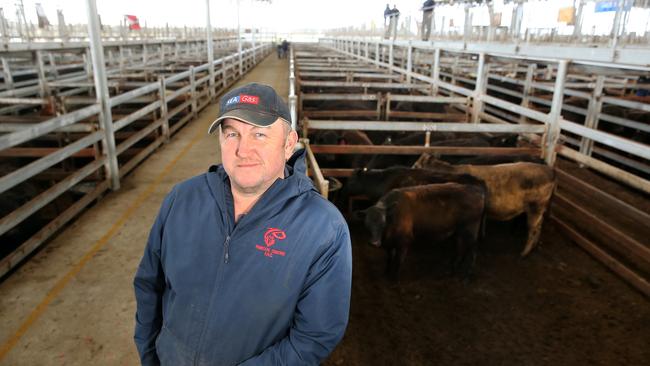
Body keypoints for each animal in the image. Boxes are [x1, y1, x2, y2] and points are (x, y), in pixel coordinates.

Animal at [412, 156, 556, 256]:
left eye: (416, 165)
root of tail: (549, 170)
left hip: (535, 207)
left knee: (533, 229)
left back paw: (524, 253)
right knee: (539, 226)